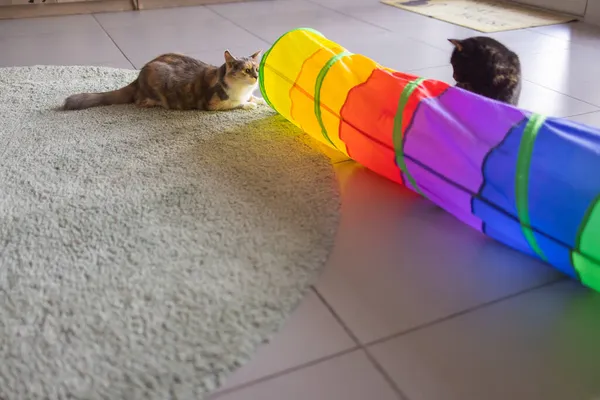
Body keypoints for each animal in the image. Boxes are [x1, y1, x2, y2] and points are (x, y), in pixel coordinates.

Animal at [62, 50, 264, 112]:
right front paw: (249, 104)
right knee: (139, 101)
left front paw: (259, 100)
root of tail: (138, 78)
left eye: (256, 68)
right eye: (246, 70)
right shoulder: (212, 104)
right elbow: (235, 103)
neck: (242, 89)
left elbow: (250, 98)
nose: (256, 77)